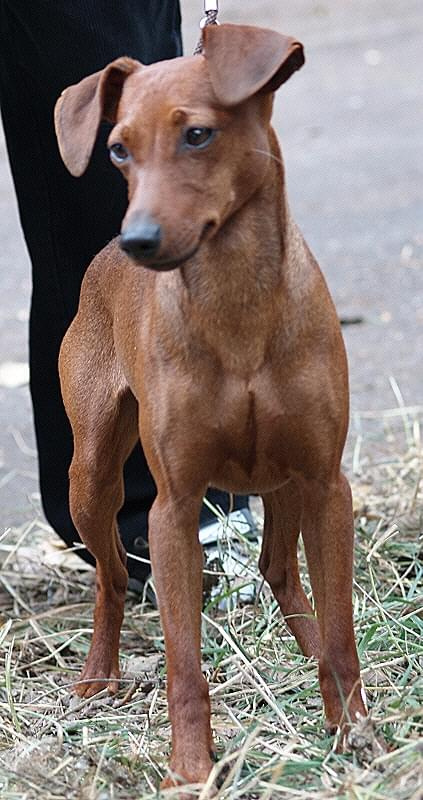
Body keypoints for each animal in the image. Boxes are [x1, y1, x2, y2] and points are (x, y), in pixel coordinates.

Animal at [55, 23, 368, 788]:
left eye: (197, 134)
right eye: (118, 149)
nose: (139, 240)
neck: (236, 307)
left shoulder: (327, 485)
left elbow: (342, 633)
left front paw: (355, 733)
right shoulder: (172, 510)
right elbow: (184, 667)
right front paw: (190, 769)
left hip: (286, 481)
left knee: (281, 571)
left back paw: (307, 648)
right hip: (92, 480)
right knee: (111, 580)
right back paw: (98, 675)